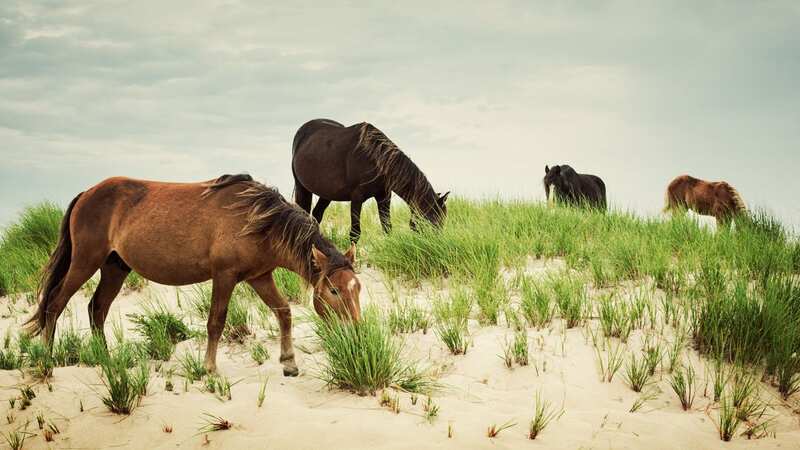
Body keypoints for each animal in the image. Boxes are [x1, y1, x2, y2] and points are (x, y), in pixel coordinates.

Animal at [24, 174, 362, 374]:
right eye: (334, 291)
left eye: (357, 289)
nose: (357, 332)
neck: (257, 220)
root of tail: (87, 194)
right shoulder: (224, 276)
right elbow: (216, 322)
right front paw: (209, 369)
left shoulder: (260, 277)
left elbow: (283, 312)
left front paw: (289, 363)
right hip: (85, 262)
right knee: (55, 304)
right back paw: (47, 361)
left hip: (114, 268)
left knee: (97, 309)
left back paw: (106, 360)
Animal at [290, 118, 450, 241]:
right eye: (431, 222)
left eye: (442, 221)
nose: (435, 246)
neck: (374, 159)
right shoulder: (356, 199)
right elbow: (355, 233)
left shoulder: (384, 197)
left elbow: (387, 227)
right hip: (302, 188)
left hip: (327, 193)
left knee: (316, 215)